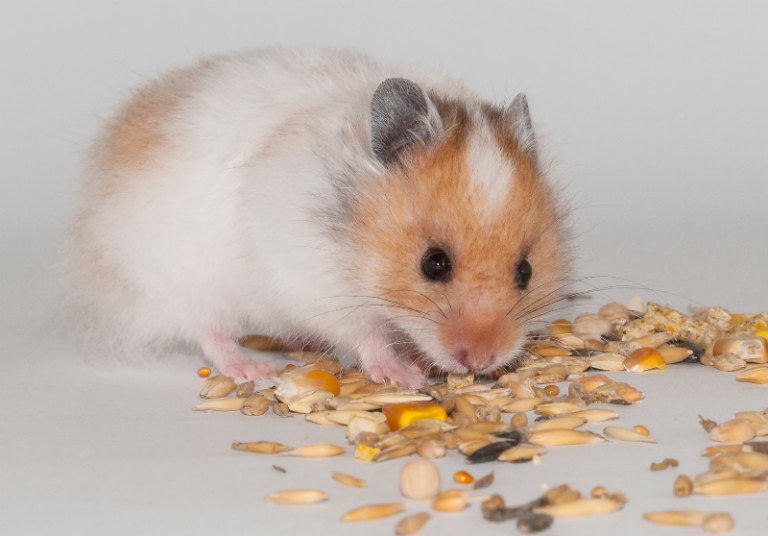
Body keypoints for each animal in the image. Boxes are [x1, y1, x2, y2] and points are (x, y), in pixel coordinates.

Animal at [72, 47, 571, 387]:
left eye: (525, 271)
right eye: (434, 264)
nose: (483, 360)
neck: (353, 244)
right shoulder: (312, 284)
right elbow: (366, 334)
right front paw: (404, 375)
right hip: (177, 284)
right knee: (209, 333)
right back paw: (254, 368)